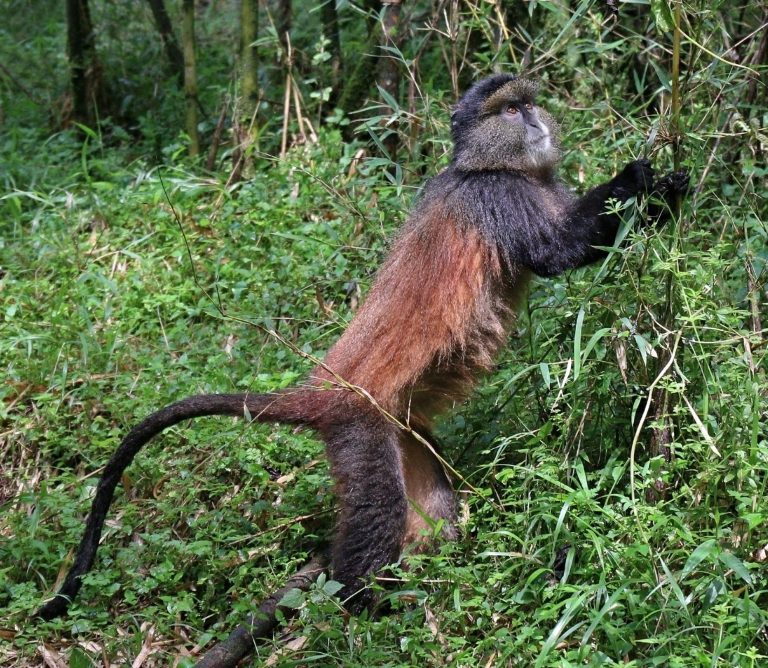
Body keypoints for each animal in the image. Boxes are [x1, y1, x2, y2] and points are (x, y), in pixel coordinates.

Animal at [37, 74, 689, 620]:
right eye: (509, 109)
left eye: (529, 102)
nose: (535, 119)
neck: (484, 166)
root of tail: (322, 389)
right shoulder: (498, 200)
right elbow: (563, 251)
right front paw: (642, 179)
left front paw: (669, 189)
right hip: (362, 430)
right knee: (376, 517)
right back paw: (364, 609)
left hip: (404, 433)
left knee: (434, 508)